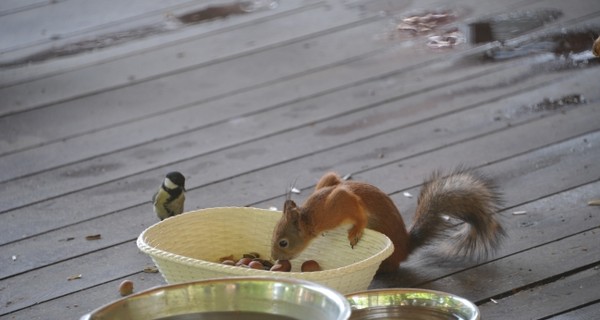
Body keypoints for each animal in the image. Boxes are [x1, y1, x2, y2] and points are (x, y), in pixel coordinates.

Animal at [272, 169, 506, 272]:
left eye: (283, 242)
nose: (274, 258)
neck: (310, 216)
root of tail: (405, 247)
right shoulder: (328, 181)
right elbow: (331, 177)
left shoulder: (338, 203)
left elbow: (355, 209)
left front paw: (356, 231)